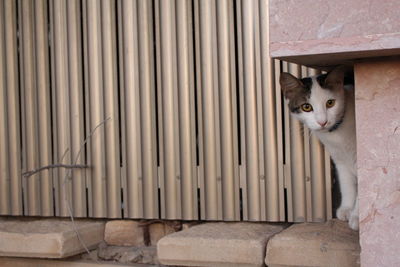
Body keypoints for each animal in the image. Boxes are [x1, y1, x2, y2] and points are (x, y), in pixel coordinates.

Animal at [278, 67, 360, 230]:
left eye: (330, 103)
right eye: (306, 107)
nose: (323, 122)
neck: (337, 135)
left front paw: (357, 217)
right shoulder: (340, 160)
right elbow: (347, 183)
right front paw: (347, 209)